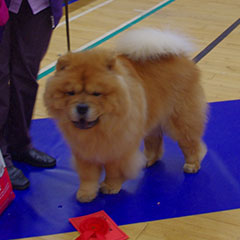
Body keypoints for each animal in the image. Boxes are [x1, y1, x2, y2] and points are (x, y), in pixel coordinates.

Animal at [44, 28, 207, 202]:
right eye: (70, 93)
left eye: (96, 94)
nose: (82, 107)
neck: (100, 129)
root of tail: (180, 56)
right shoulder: (83, 152)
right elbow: (88, 175)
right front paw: (86, 194)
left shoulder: (119, 148)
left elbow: (114, 171)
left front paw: (110, 187)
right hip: (151, 119)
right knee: (154, 140)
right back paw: (148, 160)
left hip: (180, 119)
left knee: (190, 143)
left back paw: (192, 165)